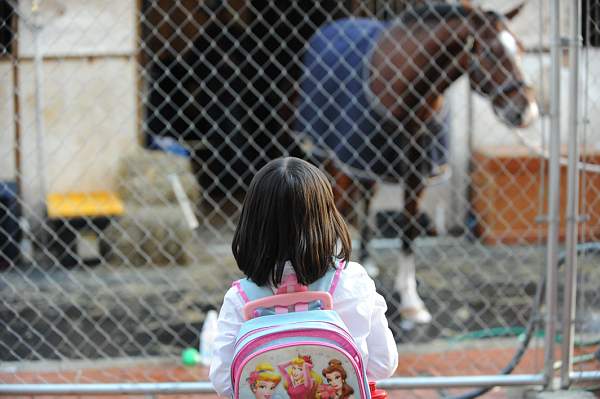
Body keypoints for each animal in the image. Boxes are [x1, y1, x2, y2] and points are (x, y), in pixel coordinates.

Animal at [296, 2, 540, 328]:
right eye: (489, 52)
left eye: (522, 49)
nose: (526, 110)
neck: (410, 88)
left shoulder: (418, 173)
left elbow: (409, 231)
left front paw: (411, 302)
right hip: (332, 157)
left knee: (367, 199)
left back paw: (368, 259)